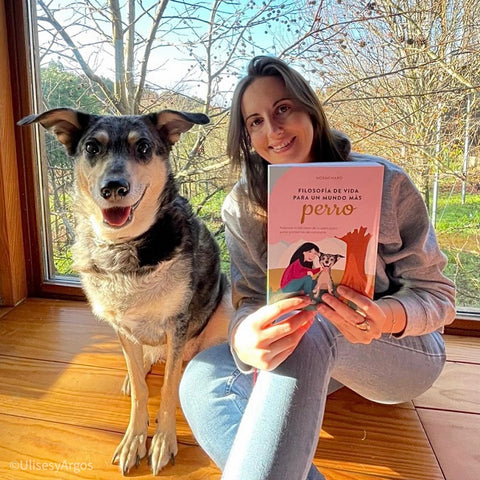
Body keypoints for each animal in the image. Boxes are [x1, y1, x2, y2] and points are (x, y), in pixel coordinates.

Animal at [18, 108, 230, 475]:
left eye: (143, 147)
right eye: (92, 147)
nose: (114, 187)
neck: (123, 248)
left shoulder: (177, 323)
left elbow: (169, 389)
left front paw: (163, 439)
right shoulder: (121, 326)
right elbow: (142, 392)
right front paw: (134, 437)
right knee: (144, 364)